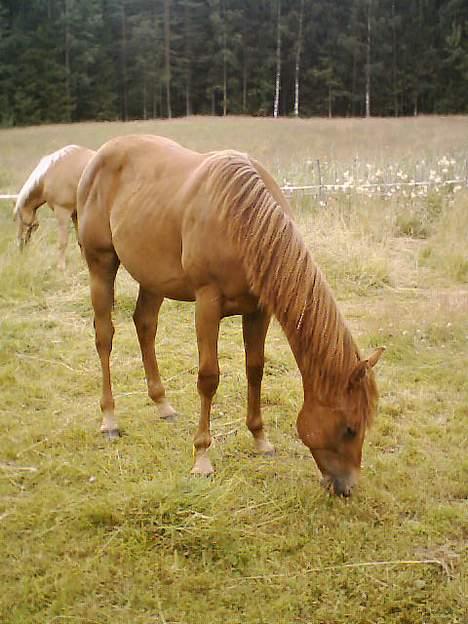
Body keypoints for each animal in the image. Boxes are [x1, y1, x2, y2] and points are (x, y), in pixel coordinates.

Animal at [77, 135, 384, 498]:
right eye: (350, 428)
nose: (346, 487)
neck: (243, 222)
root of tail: (101, 154)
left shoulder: (259, 310)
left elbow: (255, 369)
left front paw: (260, 440)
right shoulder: (207, 303)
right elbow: (209, 378)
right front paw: (202, 459)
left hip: (152, 277)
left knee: (145, 325)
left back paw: (163, 405)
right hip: (101, 264)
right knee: (104, 336)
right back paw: (109, 420)